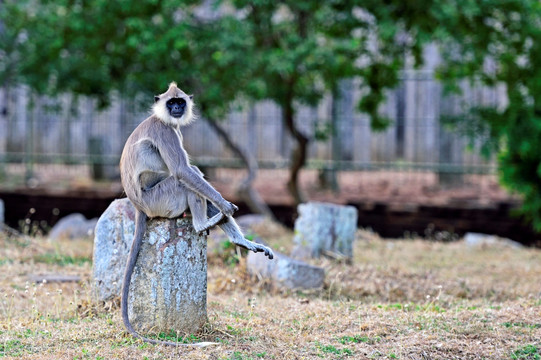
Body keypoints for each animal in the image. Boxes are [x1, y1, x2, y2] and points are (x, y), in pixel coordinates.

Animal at [118, 81, 274, 346]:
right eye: (171, 103)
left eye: (180, 102)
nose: (177, 108)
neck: (163, 119)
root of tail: (138, 206)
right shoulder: (166, 131)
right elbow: (183, 170)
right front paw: (224, 204)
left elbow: (189, 172)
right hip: (160, 200)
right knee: (185, 180)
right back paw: (204, 223)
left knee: (196, 176)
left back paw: (237, 239)